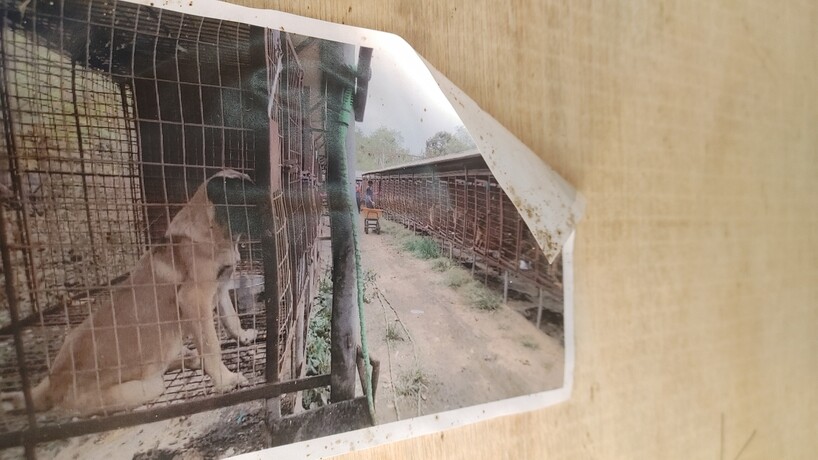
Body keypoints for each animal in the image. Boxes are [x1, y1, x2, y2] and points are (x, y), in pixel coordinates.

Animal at [1, 169, 264, 414]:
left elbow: (231, 318)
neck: (213, 232)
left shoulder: (220, 288)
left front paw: (243, 336)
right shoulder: (194, 298)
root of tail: (53, 383)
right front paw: (225, 379)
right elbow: (211, 346)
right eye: (248, 201)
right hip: (148, 386)